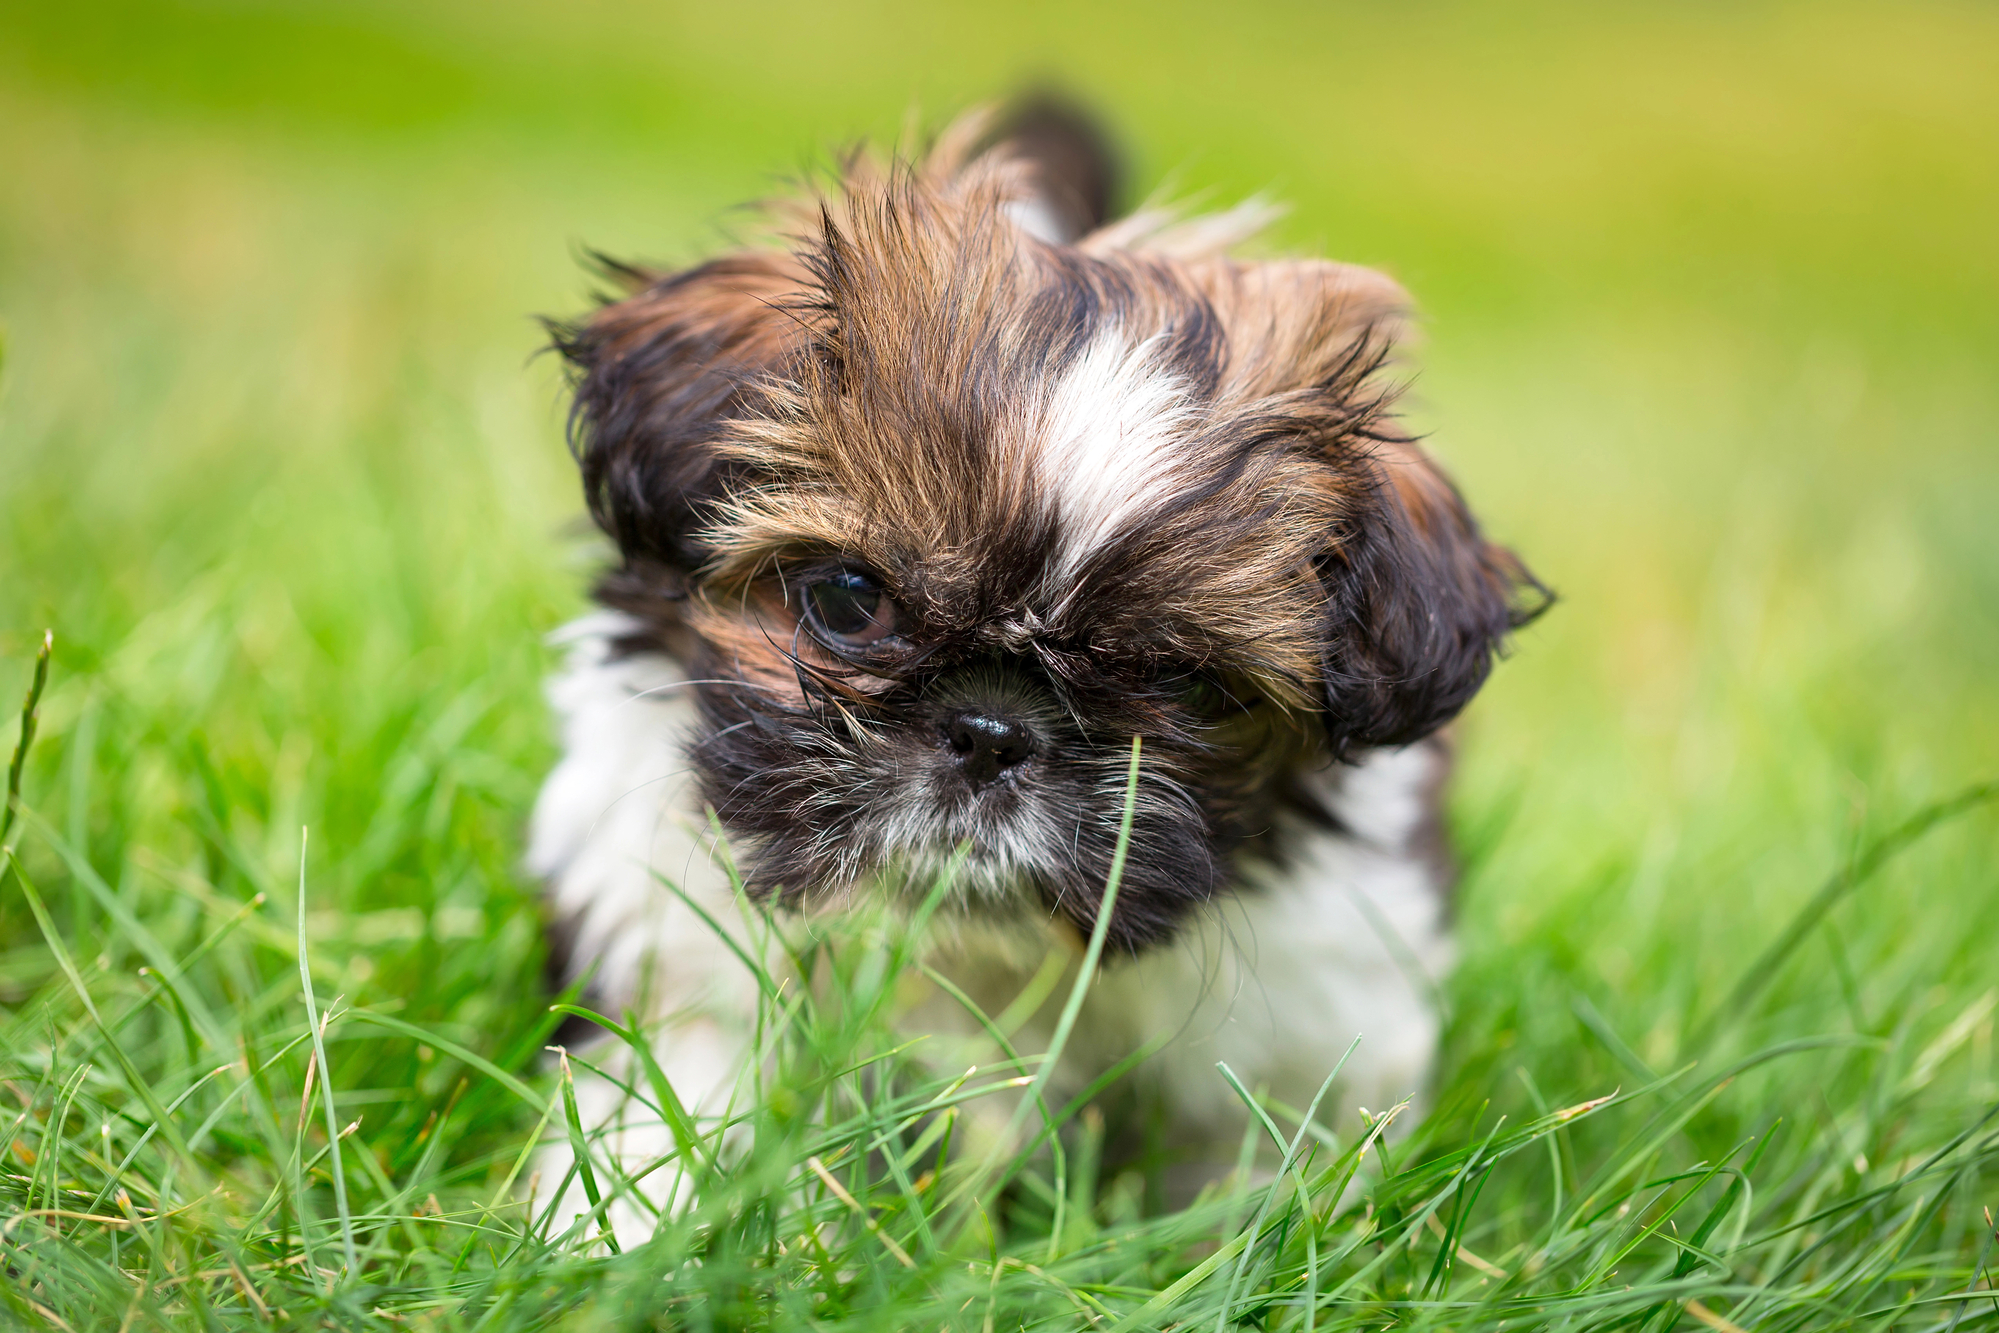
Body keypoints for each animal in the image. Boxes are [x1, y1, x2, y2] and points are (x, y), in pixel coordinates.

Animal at [527, 98, 1543, 1239]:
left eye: (1183, 682)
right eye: (847, 599)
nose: (990, 733)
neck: (981, 951)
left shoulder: (1310, 1016)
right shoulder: (672, 944)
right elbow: (668, 1104)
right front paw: (616, 1234)